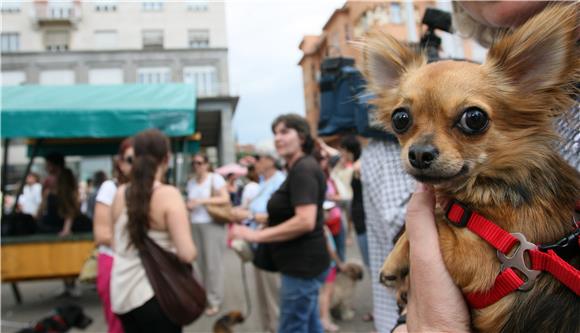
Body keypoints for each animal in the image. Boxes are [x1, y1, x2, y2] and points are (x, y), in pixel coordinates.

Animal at [364, 4, 576, 332]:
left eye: (474, 118)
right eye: (400, 118)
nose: (419, 154)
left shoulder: (485, 263)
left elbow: (438, 217)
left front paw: (396, 259)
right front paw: (394, 262)